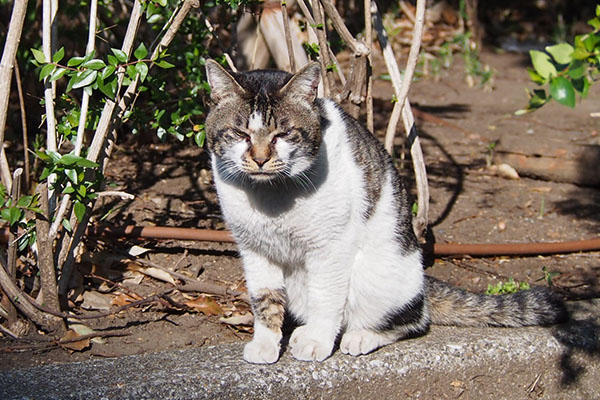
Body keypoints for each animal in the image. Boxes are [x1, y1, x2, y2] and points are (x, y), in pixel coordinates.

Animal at [203, 57, 568, 364]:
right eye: (240, 133)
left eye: (283, 134)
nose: (260, 158)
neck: (271, 195)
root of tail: (423, 282)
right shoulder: (254, 249)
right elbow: (264, 300)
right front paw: (266, 344)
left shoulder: (331, 249)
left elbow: (326, 298)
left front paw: (318, 341)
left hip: (376, 274)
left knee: (413, 319)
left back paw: (360, 336)